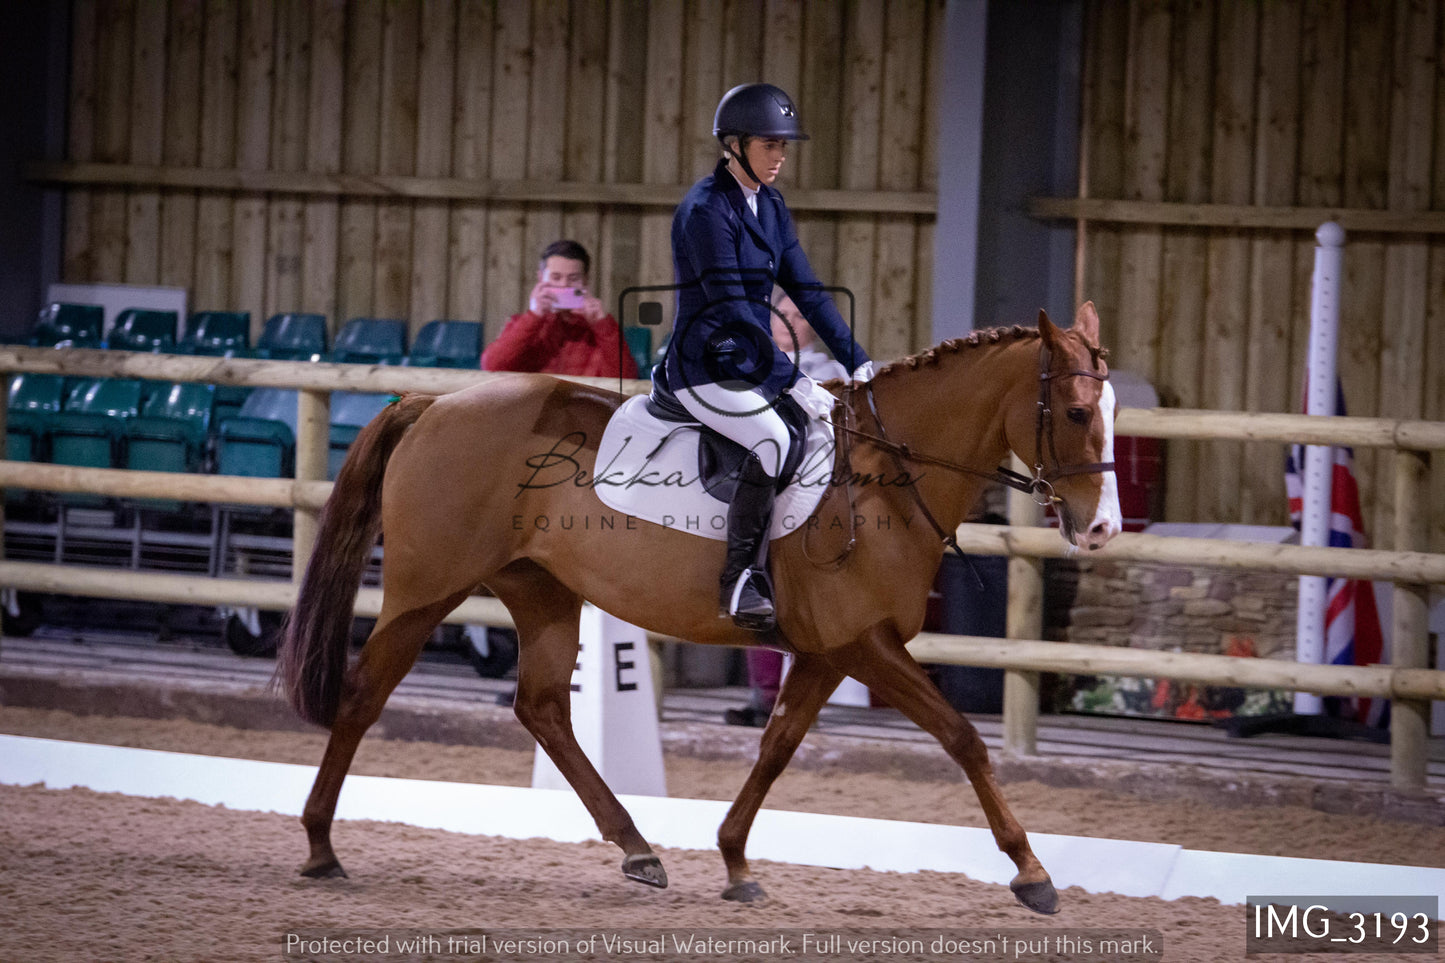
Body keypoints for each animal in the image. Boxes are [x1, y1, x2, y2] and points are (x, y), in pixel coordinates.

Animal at [275, 302, 1121, 913]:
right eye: (1077, 412)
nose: (1101, 528)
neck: (887, 475)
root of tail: (430, 404)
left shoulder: (824, 651)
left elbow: (776, 746)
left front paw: (736, 860)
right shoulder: (863, 644)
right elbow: (962, 738)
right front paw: (1031, 871)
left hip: (541, 589)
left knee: (542, 707)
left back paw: (638, 848)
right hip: (426, 590)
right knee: (364, 693)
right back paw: (319, 847)